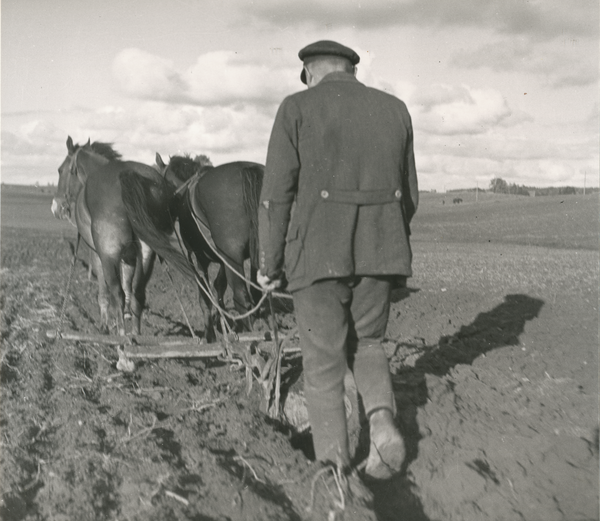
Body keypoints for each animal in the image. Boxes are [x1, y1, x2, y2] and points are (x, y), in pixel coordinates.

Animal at [50, 136, 171, 336]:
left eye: (61, 170)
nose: (56, 208)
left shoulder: (97, 252)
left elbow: (105, 290)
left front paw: (104, 325)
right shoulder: (130, 255)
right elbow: (129, 285)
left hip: (109, 253)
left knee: (117, 292)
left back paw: (121, 335)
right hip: (147, 254)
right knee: (138, 292)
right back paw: (135, 335)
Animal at [118, 153, 264, 342]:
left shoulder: (198, 257)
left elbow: (205, 296)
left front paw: (210, 334)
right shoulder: (222, 260)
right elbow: (219, 286)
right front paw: (223, 322)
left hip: (233, 257)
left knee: (241, 297)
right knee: (258, 293)